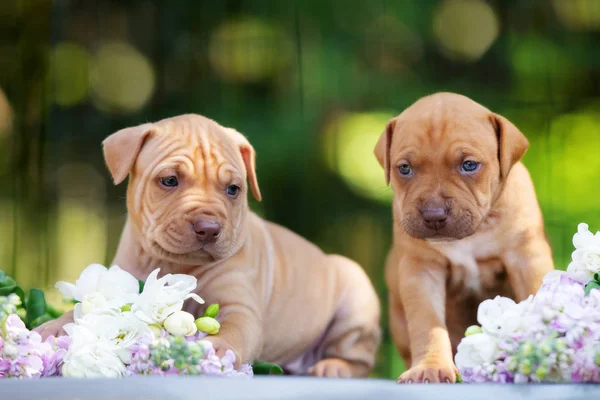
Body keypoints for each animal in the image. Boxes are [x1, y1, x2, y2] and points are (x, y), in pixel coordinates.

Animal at [36, 113, 380, 378]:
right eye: (169, 180)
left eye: (233, 189)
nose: (209, 228)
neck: (176, 262)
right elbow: (83, 312)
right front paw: (53, 327)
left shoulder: (240, 308)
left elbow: (235, 330)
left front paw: (216, 348)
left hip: (355, 298)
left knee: (359, 357)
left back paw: (334, 366)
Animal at [378, 94, 556, 384]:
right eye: (404, 168)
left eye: (469, 165)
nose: (434, 214)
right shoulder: (421, 270)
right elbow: (428, 324)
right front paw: (429, 367)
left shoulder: (526, 257)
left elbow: (536, 297)